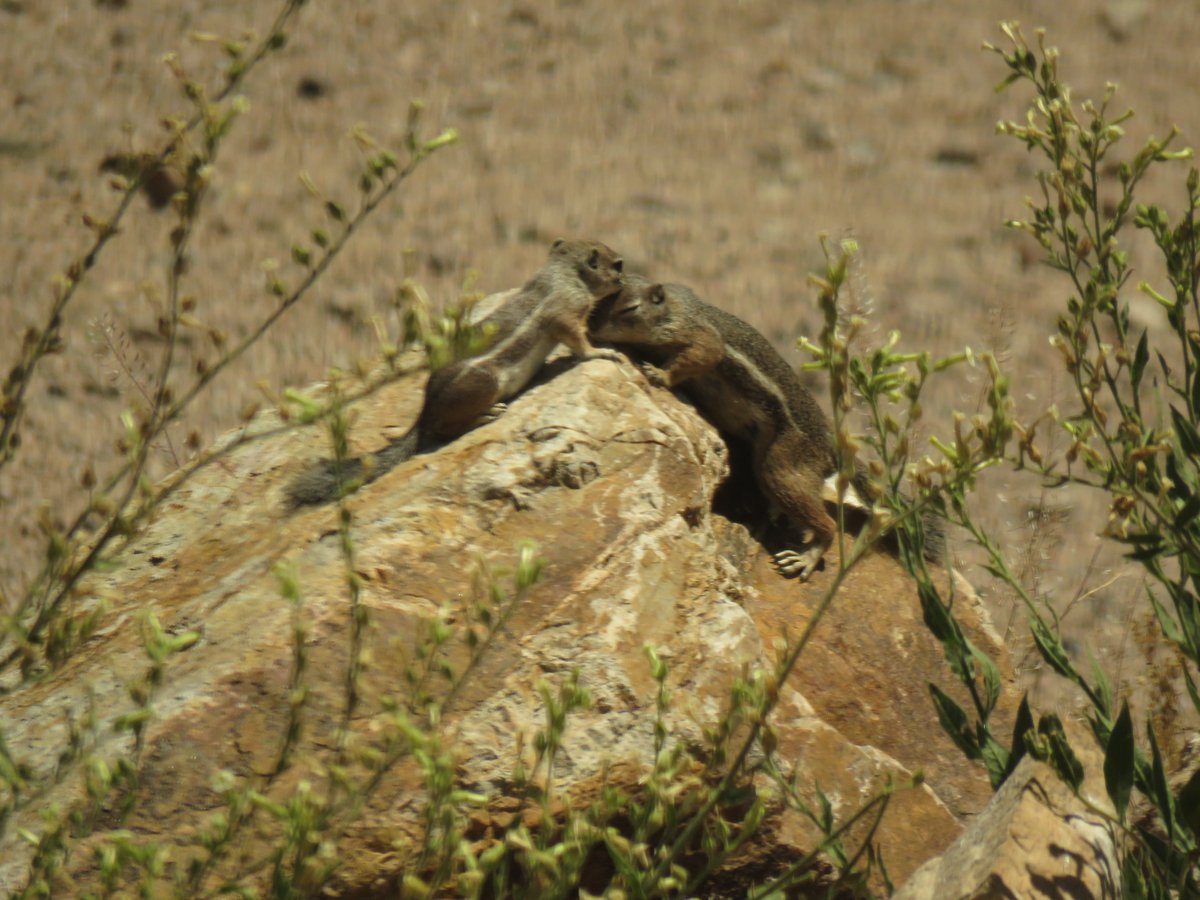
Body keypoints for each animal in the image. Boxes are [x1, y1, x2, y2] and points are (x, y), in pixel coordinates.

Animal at [288, 240, 628, 508]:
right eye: (618, 265)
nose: (625, 279)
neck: (564, 271)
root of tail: (425, 411)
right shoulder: (566, 310)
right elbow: (576, 338)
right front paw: (601, 353)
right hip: (485, 382)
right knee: (443, 430)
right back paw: (485, 416)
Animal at [590, 278, 936, 580]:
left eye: (630, 308)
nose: (591, 328)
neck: (677, 307)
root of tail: (831, 446)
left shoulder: (698, 336)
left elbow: (702, 354)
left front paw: (659, 375)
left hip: (782, 464)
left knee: (825, 523)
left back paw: (807, 556)